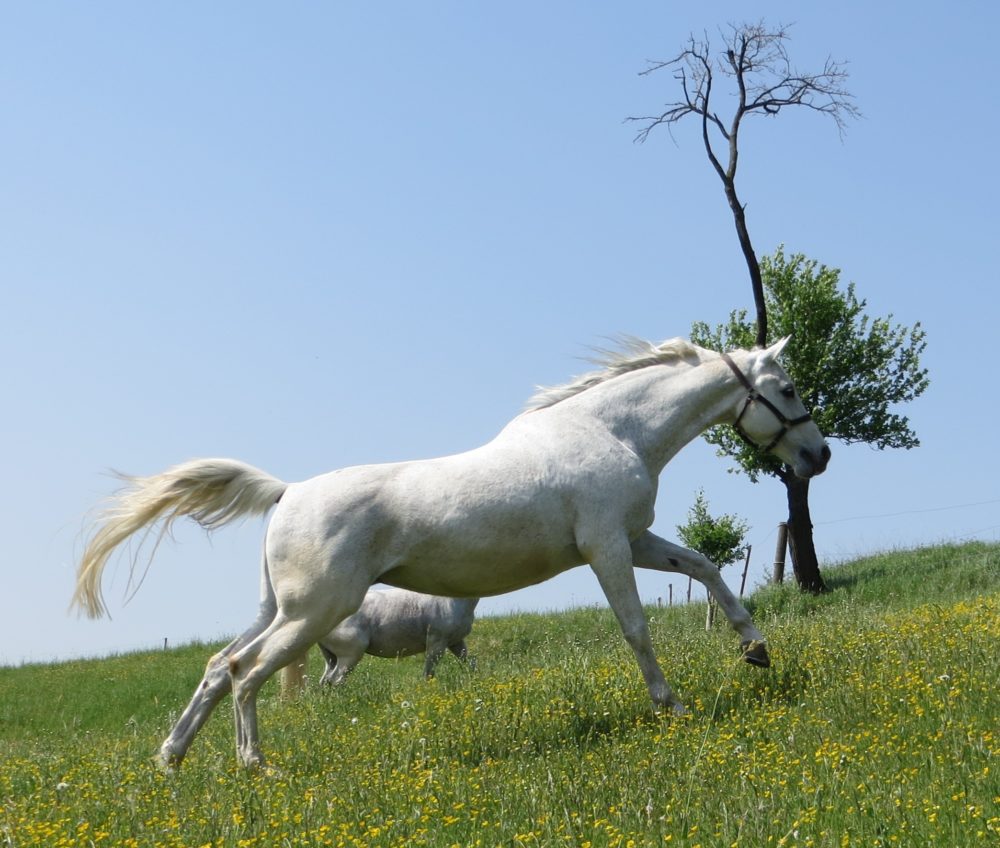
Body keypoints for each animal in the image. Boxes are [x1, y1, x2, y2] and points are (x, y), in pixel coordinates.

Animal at [74, 336, 832, 768]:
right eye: (788, 388)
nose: (818, 457)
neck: (613, 430)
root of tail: (287, 494)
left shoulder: (636, 539)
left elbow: (704, 567)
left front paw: (756, 649)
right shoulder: (607, 548)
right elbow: (637, 628)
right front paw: (671, 706)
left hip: (280, 610)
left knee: (216, 666)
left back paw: (171, 760)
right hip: (315, 614)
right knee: (245, 673)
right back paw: (256, 765)